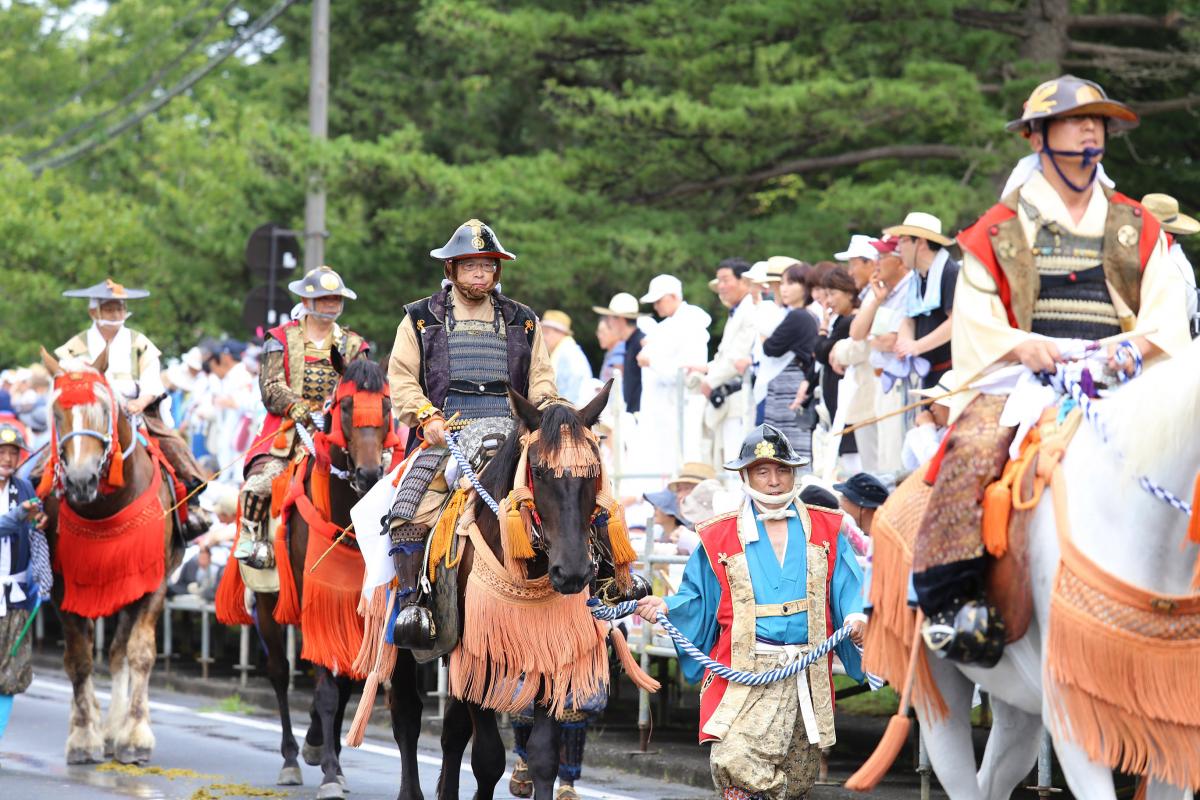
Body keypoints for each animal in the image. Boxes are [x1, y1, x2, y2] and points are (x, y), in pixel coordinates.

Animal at [40, 347, 181, 762]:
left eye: (103, 409)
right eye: (56, 413)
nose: (80, 479)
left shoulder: (151, 580)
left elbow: (139, 652)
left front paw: (135, 734)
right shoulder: (63, 587)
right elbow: (79, 659)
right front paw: (84, 735)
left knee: (119, 652)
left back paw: (118, 725)